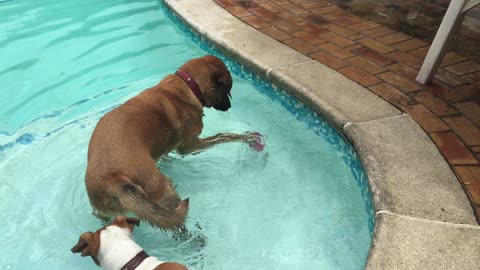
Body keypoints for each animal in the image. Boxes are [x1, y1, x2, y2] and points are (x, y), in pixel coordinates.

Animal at [85, 54, 262, 230]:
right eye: (228, 89)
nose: (229, 106)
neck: (187, 85)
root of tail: (113, 179)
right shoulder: (190, 146)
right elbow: (222, 137)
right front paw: (244, 137)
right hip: (165, 192)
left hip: (107, 211)